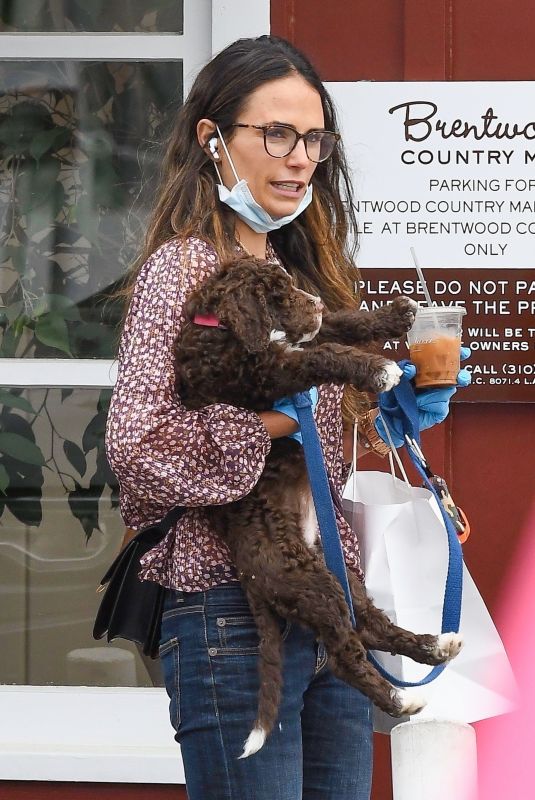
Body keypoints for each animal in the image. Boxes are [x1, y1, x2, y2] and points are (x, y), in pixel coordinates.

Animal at [174, 256, 462, 756]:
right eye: (277, 294)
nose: (313, 303)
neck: (217, 324)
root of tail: (252, 580)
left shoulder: (293, 342)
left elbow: (337, 326)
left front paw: (395, 316)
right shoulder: (265, 372)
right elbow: (322, 353)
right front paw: (380, 370)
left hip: (340, 575)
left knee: (372, 627)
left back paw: (435, 647)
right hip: (313, 583)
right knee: (346, 654)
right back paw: (401, 700)